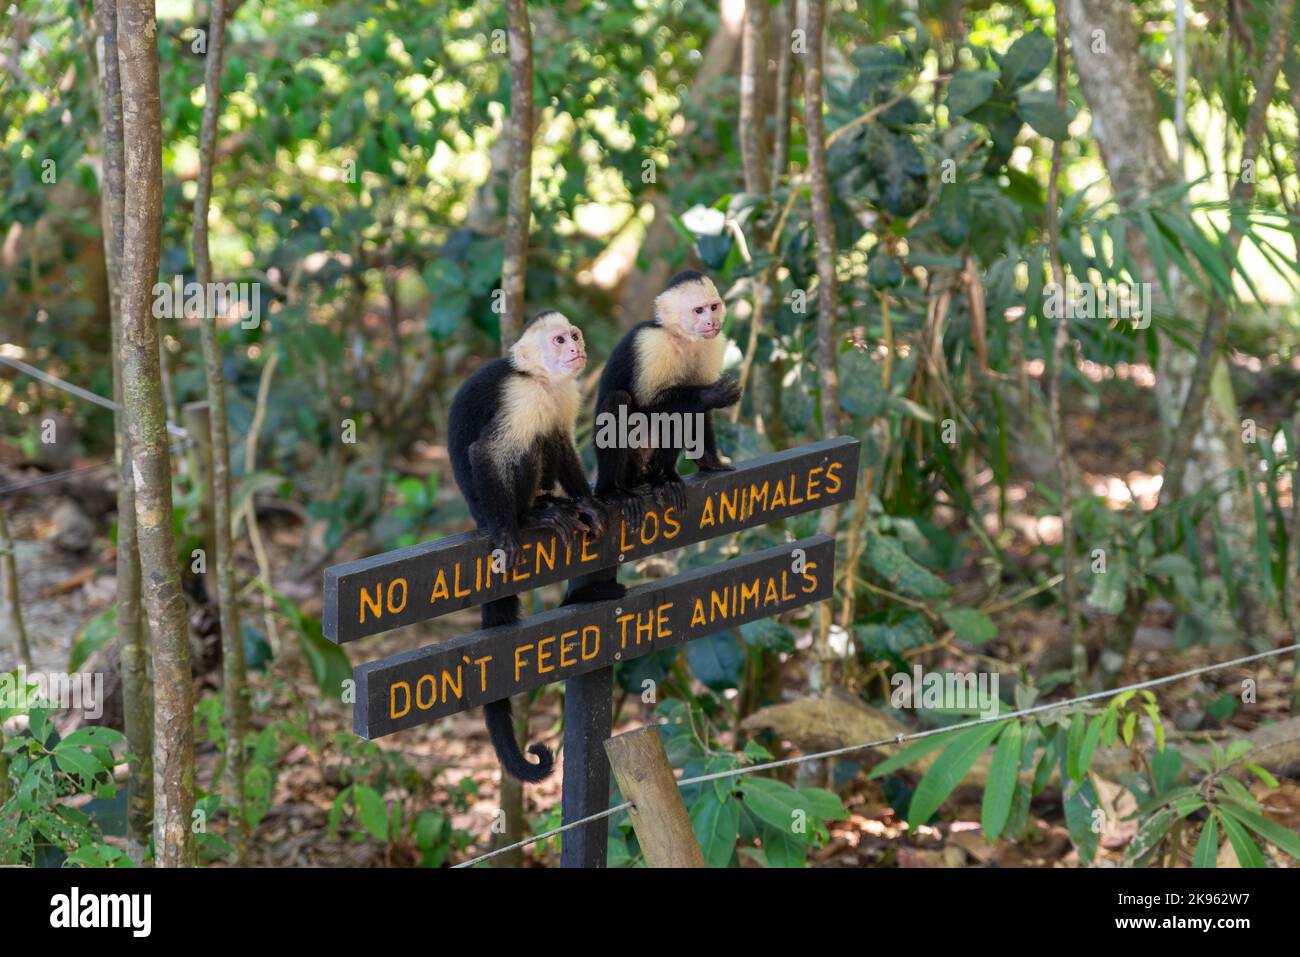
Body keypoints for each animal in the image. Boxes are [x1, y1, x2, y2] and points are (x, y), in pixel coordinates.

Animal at [447, 310, 603, 782]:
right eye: (559, 340)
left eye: (573, 336)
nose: (577, 347)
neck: (542, 379)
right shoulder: (521, 397)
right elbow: (486, 452)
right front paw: (507, 534)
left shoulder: (565, 391)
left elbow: (564, 443)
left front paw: (591, 502)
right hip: (485, 503)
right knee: (524, 446)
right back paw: (530, 516)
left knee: (547, 439)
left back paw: (554, 502)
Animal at [565, 270, 741, 605]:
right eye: (698, 311)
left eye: (713, 307)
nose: (711, 321)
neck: (683, 338)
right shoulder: (652, 345)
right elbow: (648, 406)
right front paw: (712, 395)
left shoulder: (712, 345)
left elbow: (698, 415)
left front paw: (711, 461)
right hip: (624, 469)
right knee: (620, 402)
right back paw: (615, 492)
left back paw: (665, 479)